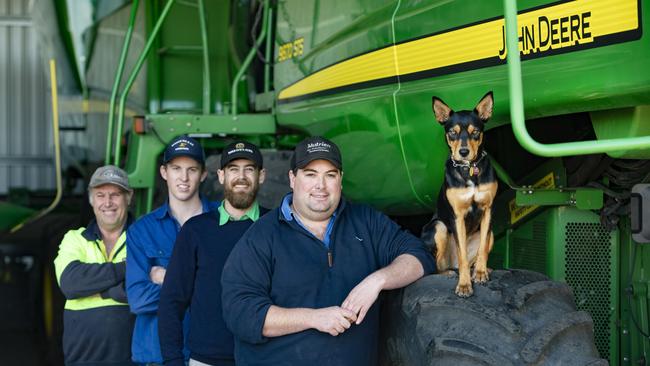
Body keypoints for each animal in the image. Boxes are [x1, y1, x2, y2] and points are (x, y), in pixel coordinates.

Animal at [428, 92, 494, 298]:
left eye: (475, 132)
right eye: (452, 132)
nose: (463, 152)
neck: (468, 169)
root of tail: (452, 264)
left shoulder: (488, 210)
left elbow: (482, 249)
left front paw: (480, 273)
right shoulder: (457, 216)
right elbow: (462, 253)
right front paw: (464, 285)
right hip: (439, 227)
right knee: (434, 267)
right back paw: (448, 272)